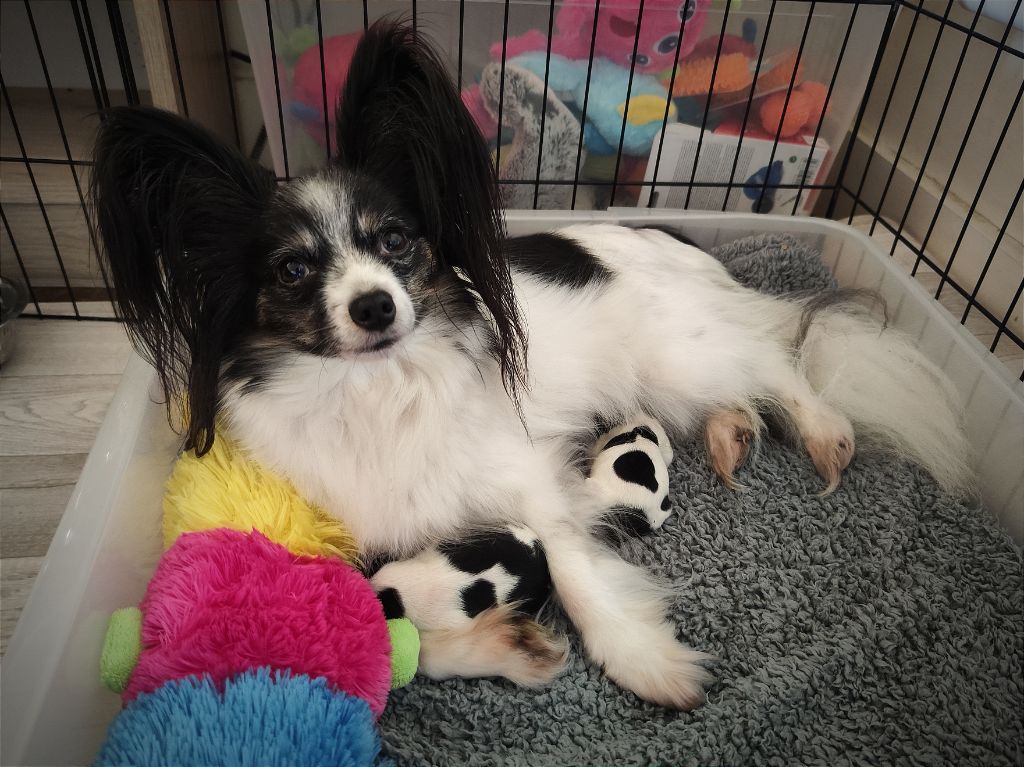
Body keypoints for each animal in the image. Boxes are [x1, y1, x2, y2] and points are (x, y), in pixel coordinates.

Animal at [90, 21, 971, 709]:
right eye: (293, 270)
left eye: (397, 240)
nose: (374, 306)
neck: (377, 387)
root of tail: (682, 240)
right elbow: (396, 641)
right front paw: (505, 647)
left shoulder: (532, 483)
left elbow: (575, 566)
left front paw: (642, 658)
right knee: (746, 388)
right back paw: (733, 437)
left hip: (681, 357)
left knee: (781, 359)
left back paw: (821, 429)